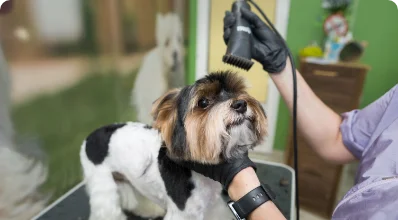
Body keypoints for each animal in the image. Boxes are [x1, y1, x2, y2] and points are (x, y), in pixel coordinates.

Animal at [79, 71, 268, 219]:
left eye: (238, 91)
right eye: (203, 102)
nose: (241, 104)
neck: (199, 175)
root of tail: (91, 135)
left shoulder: (212, 208)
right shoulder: (183, 214)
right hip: (102, 182)